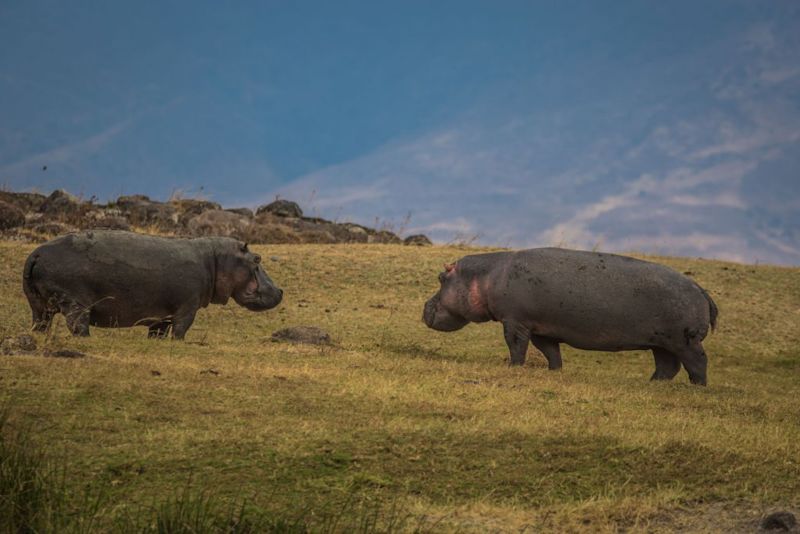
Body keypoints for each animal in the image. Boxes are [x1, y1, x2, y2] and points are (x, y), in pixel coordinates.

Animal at [21, 230, 284, 340]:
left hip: (39, 307)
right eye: (257, 259)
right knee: (77, 324)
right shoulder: (187, 308)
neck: (216, 259)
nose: (280, 290)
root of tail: (36, 253)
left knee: (40, 323)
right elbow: (181, 329)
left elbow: (158, 332)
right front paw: (179, 343)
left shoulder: (162, 316)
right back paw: (86, 339)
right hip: (76, 303)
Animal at [424, 249, 720, 388]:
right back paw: (651, 383)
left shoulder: (515, 321)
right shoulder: (541, 329)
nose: (425, 306)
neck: (484, 276)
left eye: (440, 277)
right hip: (662, 343)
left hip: (684, 341)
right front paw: (554, 371)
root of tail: (701, 289)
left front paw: (513, 367)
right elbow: (550, 352)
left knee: (698, 362)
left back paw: (698, 386)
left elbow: (515, 345)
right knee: (667, 366)